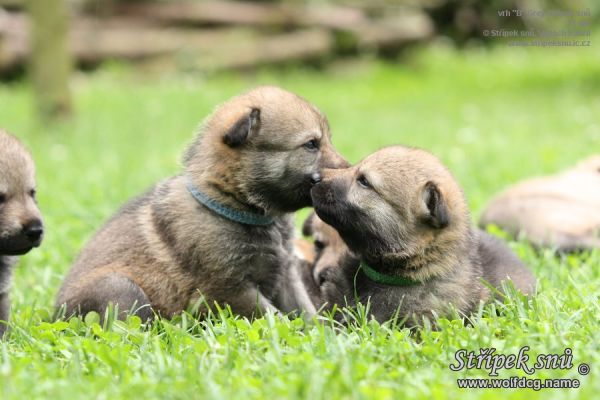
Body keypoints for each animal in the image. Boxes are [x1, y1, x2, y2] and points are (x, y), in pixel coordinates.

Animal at [57, 86, 346, 322]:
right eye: (311, 144)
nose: (348, 170)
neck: (234, 204)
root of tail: (55, 316)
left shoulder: (286, 275)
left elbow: (305, 311)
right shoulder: (231, 288)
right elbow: (275, 317)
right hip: (119, 287)